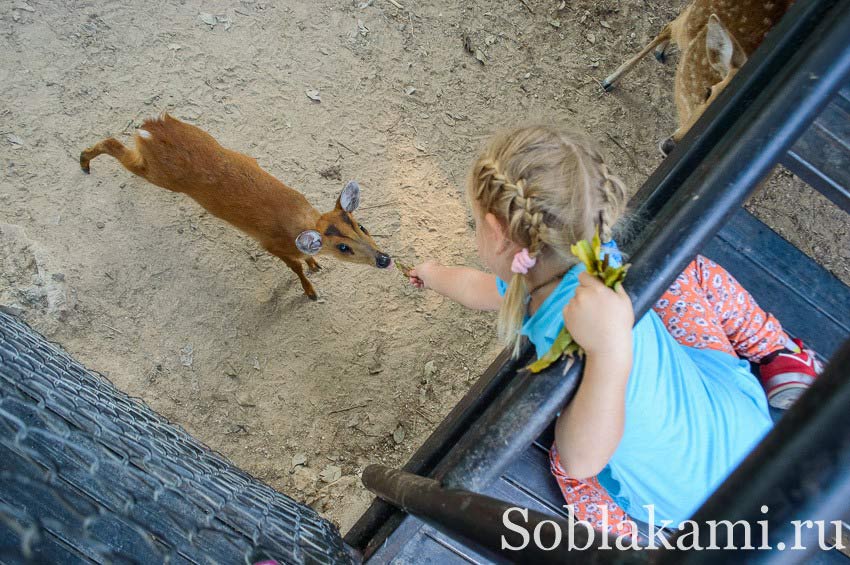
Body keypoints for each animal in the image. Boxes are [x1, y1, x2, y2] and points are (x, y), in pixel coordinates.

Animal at [79, 113, 390, 300]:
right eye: (343, 248)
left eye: (362, 226)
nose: (384, 259)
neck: (298, 222)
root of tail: (151, 130)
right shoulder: (269, 244)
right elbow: (295, 268)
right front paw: (311, 291)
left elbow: (306, 261)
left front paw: (315, 264)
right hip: (160, 175)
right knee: (113, 143)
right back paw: (84, 162)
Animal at [600, 0, 792, 154]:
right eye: (708, 92)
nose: (669, 146)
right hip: (691, 21)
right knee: (669, 26)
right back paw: (611, 80)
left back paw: (660, 52)